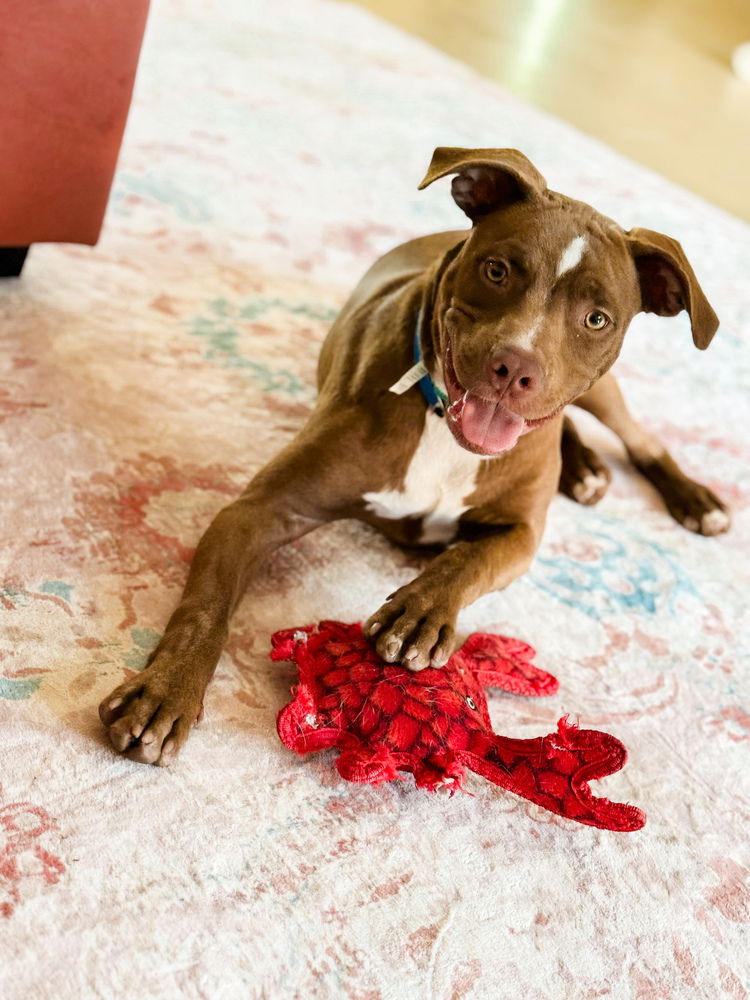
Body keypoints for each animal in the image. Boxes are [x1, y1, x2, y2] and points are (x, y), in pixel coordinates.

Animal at [98, 145, 728, 760]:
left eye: (597, 318)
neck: (442, 425)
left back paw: (693, 500)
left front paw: (420, 611)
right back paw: (588, 471)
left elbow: (468, 559)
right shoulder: (259, 511)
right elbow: (204, 609)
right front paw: (165, 691)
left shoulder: (520, 534)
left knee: (639, 439)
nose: (515, 366)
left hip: (602, 391)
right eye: (497, 269)